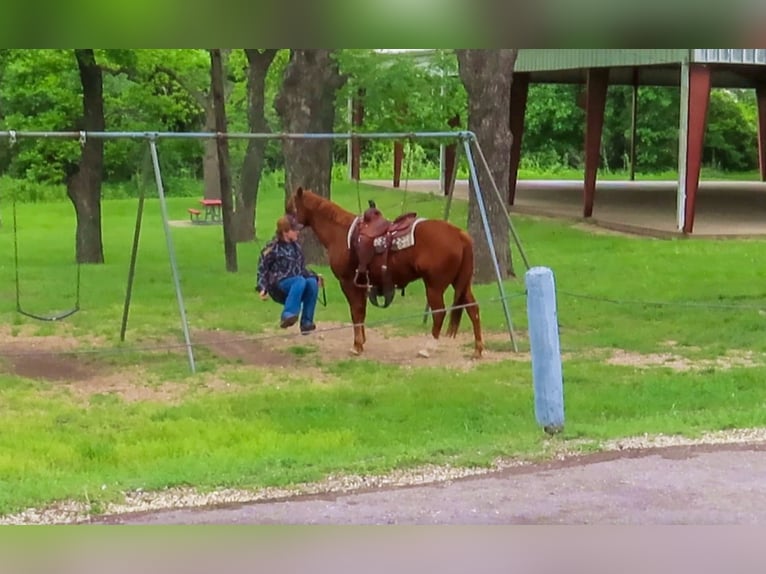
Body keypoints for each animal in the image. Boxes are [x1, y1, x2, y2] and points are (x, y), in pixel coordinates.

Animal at [284, 187, 484, 358]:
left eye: (290, 208)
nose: (283, 224)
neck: (340, 233)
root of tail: (459, 234)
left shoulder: (347, 282)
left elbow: (355, 312)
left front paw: (357, 345)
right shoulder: (361, 284)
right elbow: (361, 312)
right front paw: (362, 342)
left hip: (435, 286)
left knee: (439, 313)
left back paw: (428, 348)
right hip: (461, 284)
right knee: (473, 308)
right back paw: (478, 349)